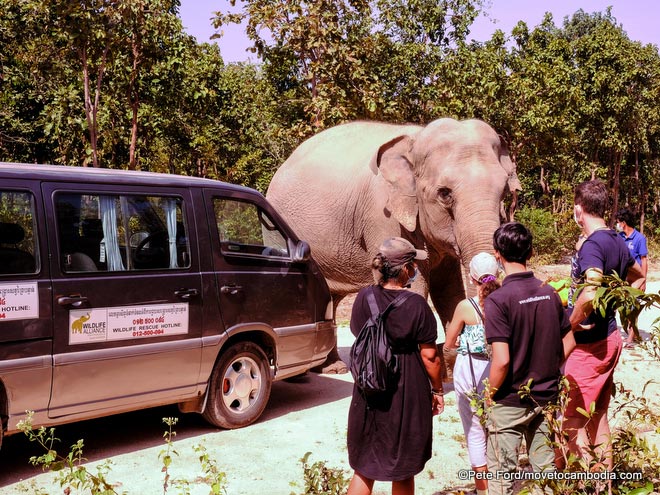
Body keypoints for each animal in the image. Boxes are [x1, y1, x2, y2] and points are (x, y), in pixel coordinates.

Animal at [266, 119, 520, 372]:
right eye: (444, 194)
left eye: (504, 192)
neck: (416, 139)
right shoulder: (382, 215)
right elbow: (414, 285)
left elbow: (447, 287)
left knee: (330, 298)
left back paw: (332, 368)